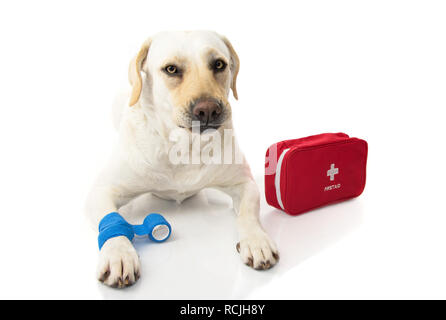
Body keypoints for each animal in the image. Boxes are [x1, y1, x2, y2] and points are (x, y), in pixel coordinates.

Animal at [86, 30, 278, 288]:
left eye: (219, 64)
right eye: (171, 69)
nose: (208, 110)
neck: (184, 148)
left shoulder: (244, 183)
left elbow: (248, 212)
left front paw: (257, 240)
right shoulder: (102, 191)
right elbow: (111, 221)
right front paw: (119, 253)